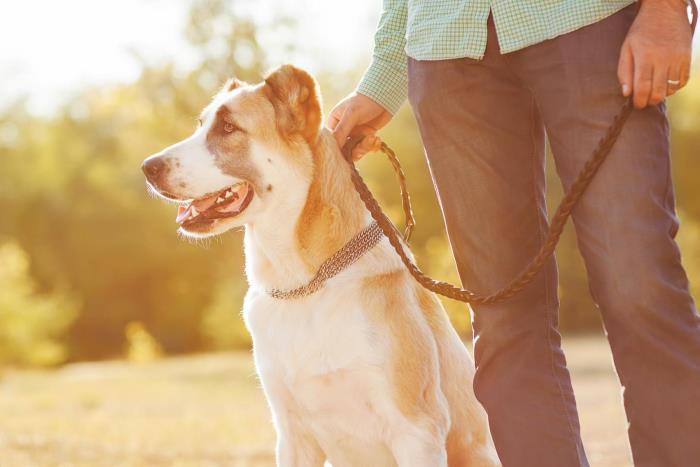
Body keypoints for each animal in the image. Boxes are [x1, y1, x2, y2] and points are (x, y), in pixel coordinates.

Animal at [142, 64, 500, 466]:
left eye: (229, 127)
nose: (147, 168)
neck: (305, 285)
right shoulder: (292, 436)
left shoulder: (417, 428)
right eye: (201, 124)